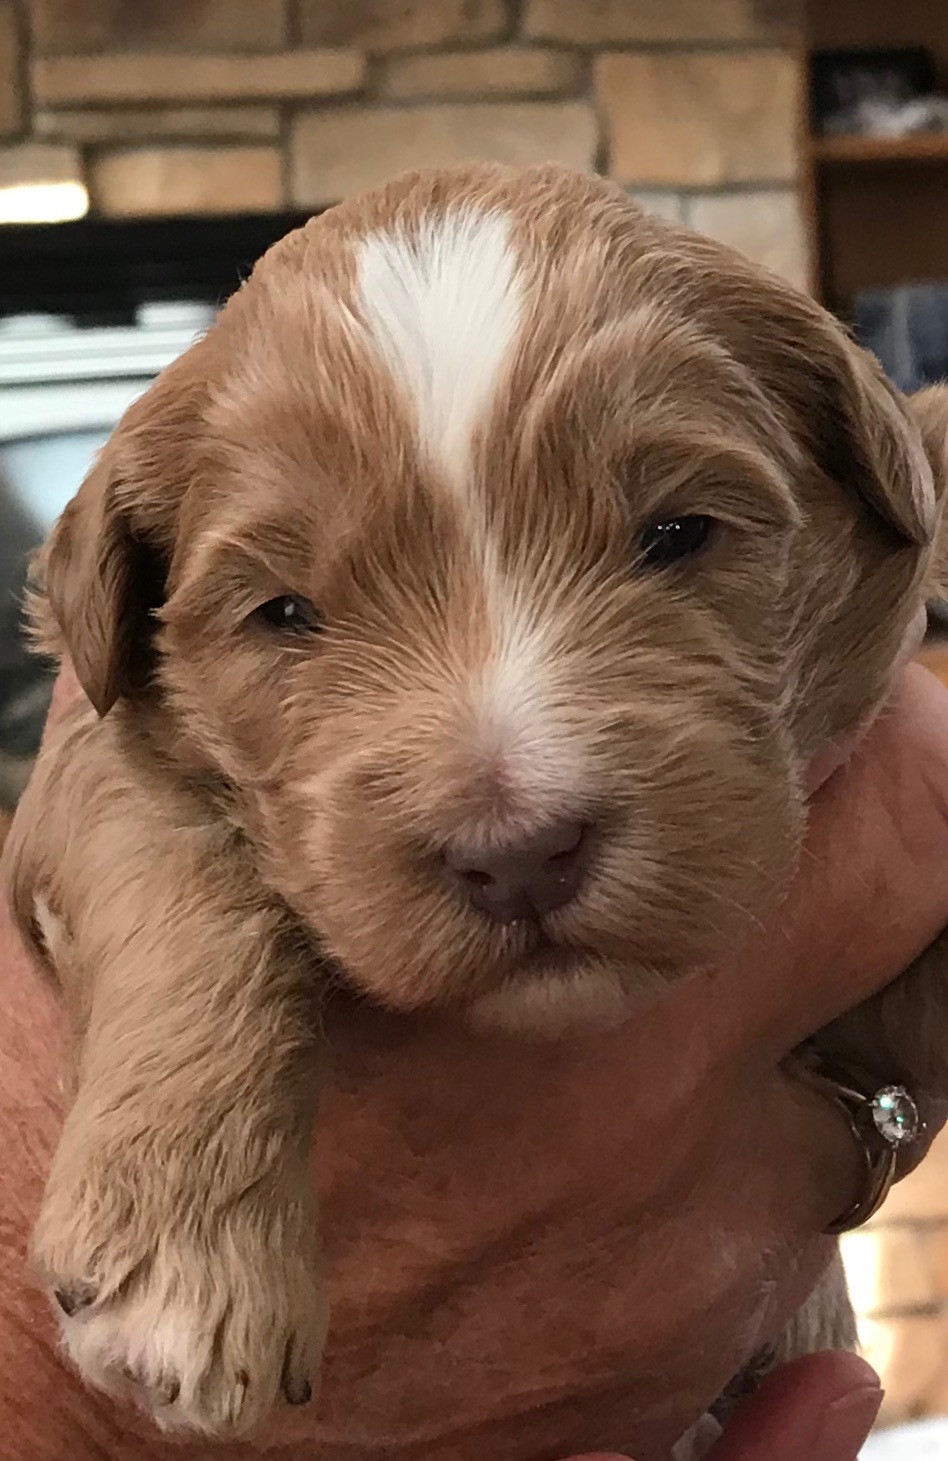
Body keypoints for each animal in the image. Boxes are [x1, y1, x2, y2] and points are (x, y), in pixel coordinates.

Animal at [5, 165, 946, 1443]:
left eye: (679, 534)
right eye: (286, 613)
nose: (519, 854)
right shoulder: (86, 754)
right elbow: (180, 873)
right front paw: (183, 1254)